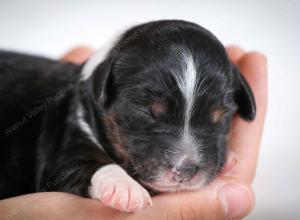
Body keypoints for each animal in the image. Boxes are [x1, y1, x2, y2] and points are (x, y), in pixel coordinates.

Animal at [0, 20, 255, 211]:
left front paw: (230, 158)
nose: (185, 170)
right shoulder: (63, 153)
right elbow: (93, 166)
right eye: (147, 111)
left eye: (220, 115)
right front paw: (125, 189)